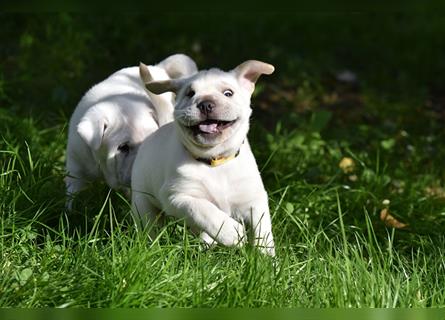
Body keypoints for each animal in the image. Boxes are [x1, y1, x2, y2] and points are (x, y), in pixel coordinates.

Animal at [65, 53, 197, 209]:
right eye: (123, 147)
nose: (144, 164)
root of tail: (158, 67)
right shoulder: (75, 165)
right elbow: (72, 193)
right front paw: (69, 212)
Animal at [131, 59, 274, 255]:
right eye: (190, 94)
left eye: (228, 93)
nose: (206, 104)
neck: (215, 162)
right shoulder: (176, 196)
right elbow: (203, 210)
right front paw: (232, 233)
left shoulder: (254, 200)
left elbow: (263, 232)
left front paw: (266, 259)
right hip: (142, 201)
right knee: (150, 226)